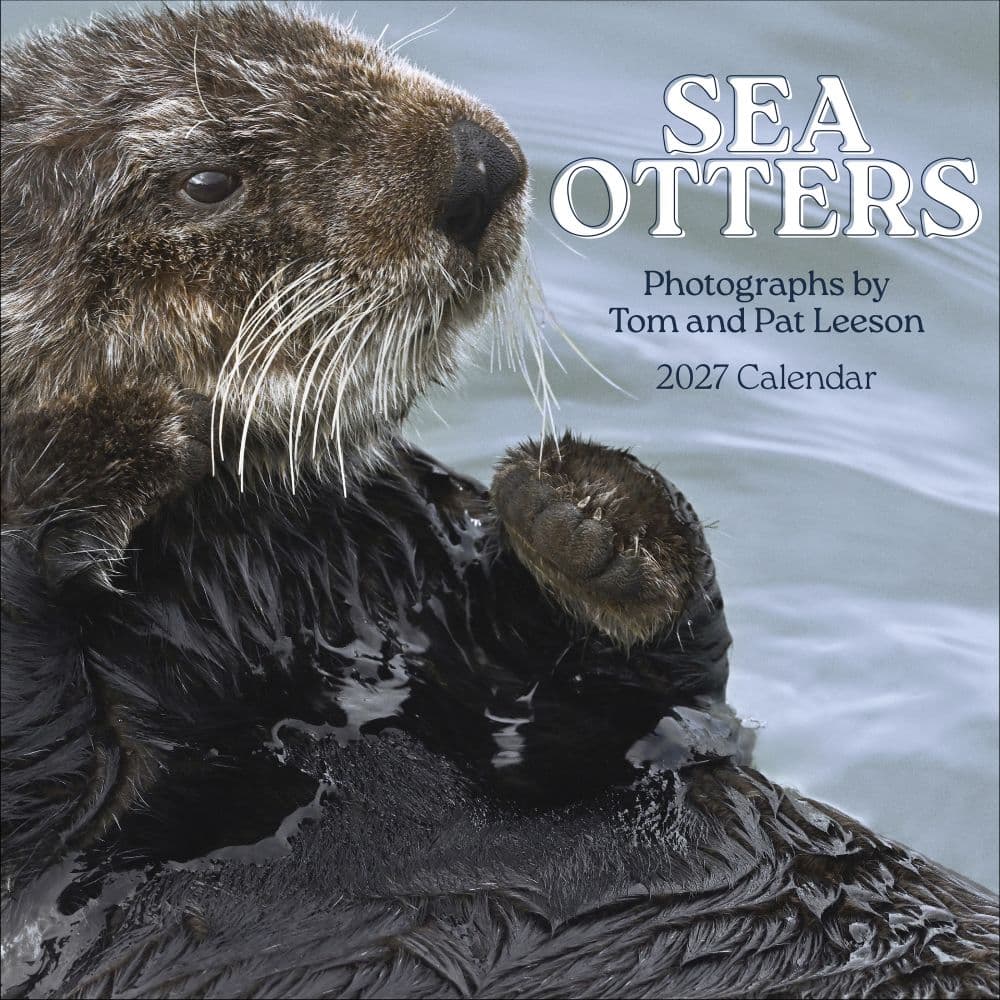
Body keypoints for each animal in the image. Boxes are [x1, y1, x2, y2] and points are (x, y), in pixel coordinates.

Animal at [1, 5, 996, 999]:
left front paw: (593, 513)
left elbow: (585, 719)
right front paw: (114, 436)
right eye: (208, 181)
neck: (238, 575)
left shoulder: (404, 561)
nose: (481, 163)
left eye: (352, 46)